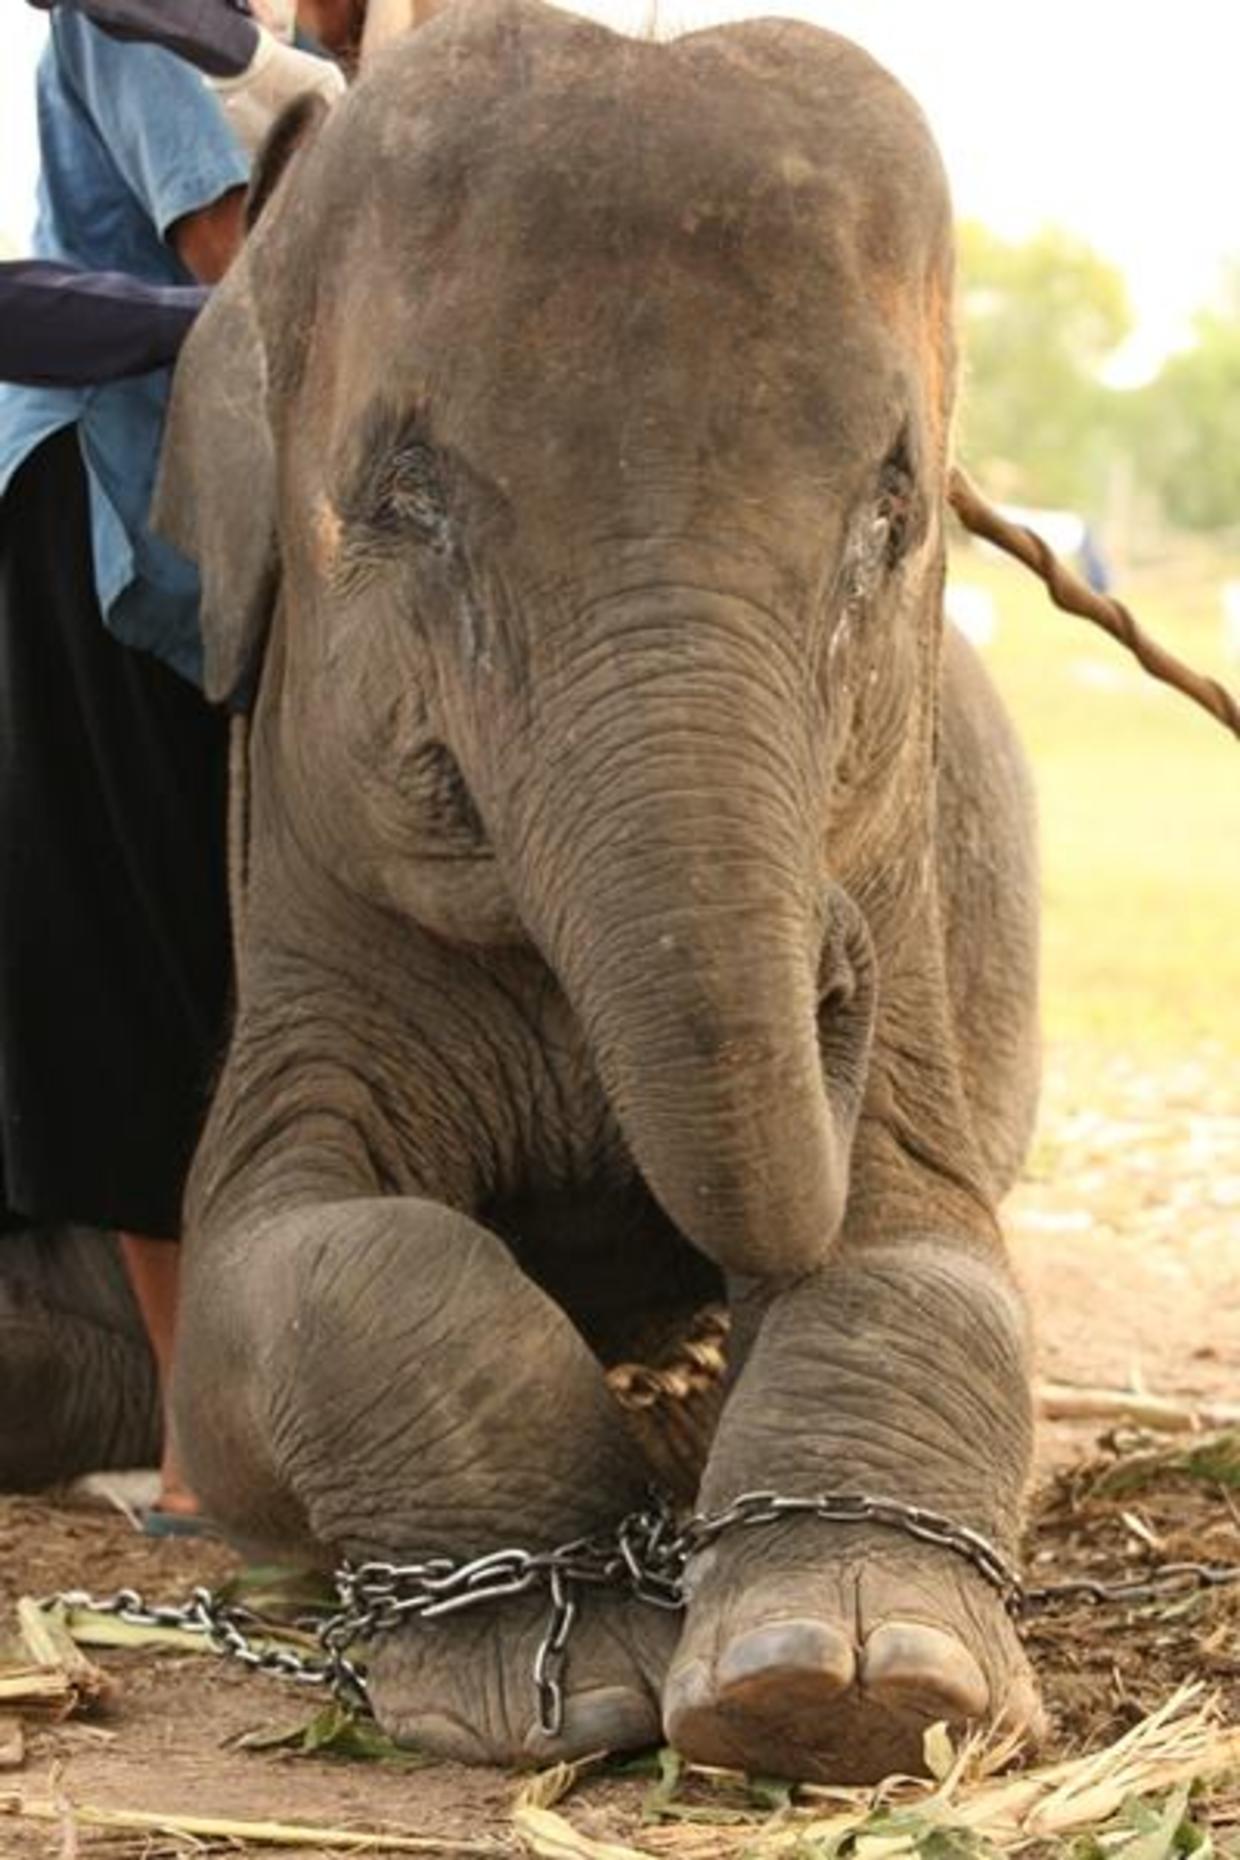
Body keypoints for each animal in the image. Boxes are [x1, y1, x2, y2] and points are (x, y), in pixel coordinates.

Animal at [150, 0, 1041, 1785]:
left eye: (894, 508)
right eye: (401, 497)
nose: (833, 959)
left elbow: (919, 1249)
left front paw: (840, 1683)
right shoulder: (299, 887)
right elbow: (285, 1261)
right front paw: (551, 1678)